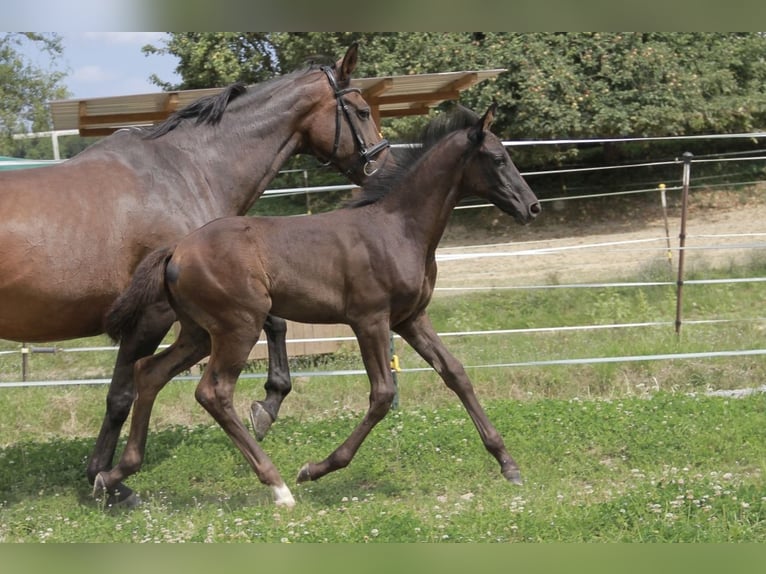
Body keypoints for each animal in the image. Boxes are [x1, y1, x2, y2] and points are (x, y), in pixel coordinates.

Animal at [0, 43, 389, 502]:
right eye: (362, 111)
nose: (386, 165)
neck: (186, 170)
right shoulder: (155, 314)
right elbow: (121, 393)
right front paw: (108, 482)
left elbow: (275, 323)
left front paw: (267, 405)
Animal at [98, 103, 540, 507]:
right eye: (498, 158)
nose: (532, 207)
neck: (397, 228)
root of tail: (176, 249)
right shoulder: (370, 320)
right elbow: (382, 394)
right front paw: (316, 468)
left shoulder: (411, 318)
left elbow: (456, 373)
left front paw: (508, 464)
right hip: (239, 326)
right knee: (213, 392)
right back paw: (278, 485)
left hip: (199, 333)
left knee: (149, 372)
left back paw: (113, 474)